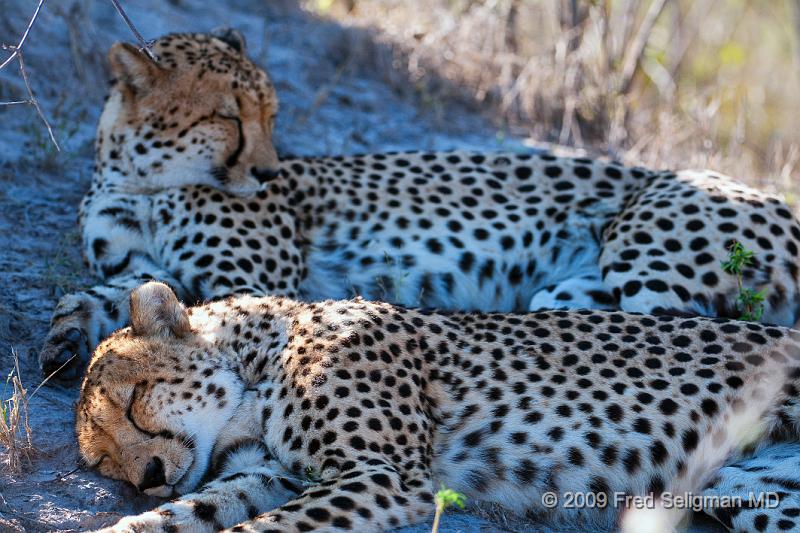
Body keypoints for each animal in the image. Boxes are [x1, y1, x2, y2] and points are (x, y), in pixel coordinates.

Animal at [40, 30, 800, 382]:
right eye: (229, 116)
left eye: (270, 113)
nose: (267, 168)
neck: (138, 177)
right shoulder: (143, 266)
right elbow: (103, 293)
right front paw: (65, 337)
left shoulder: (252, 284)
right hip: (568, 292)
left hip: (649, 259)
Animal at [78, 280, 800, 528]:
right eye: (105, 461)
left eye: (136, 401)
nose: (146, 476)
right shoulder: (268, 473)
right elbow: (185, 513)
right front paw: (138, 520)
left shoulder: (388, 477)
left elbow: (265, 530)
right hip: (753, 495)